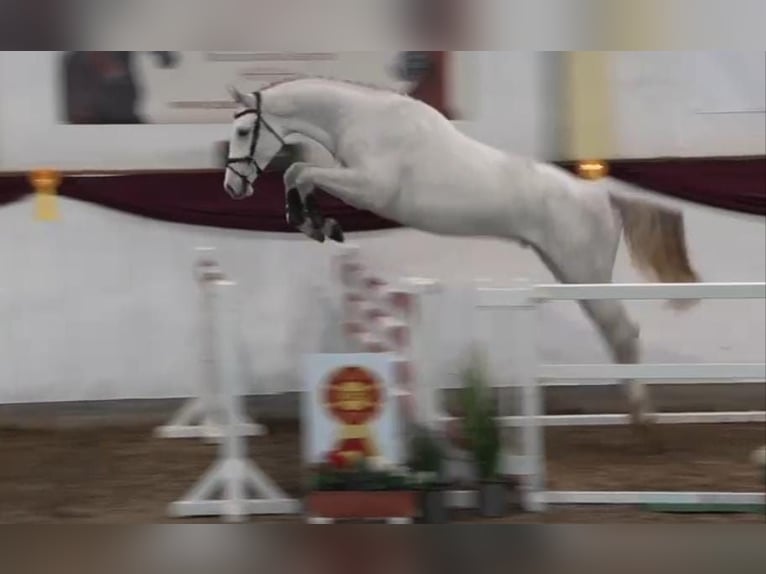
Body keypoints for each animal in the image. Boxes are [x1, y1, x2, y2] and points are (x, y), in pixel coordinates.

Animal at [222, 77, 702, 440]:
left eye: (244, 133)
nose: (232, 188)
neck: (363, 119)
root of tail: (604, 197)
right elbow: (298, 173)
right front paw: (319, 224)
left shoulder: (370, 188)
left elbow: (301, 172)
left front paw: (314, 223)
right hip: (569, 271)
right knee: (615, 330)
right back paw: (634, 410)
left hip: (584, 271)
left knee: (622, 331)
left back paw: (642, 416)